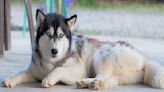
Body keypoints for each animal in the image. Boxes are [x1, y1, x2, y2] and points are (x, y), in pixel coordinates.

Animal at [2, 9, 164, 89]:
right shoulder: (33, 71)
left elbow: (58, 69)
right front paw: (9, 79)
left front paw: (49, 78)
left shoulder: (77, 70)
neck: (50, 61)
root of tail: (144, 57)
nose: (55, 51)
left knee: (103, 76)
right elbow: (21, 73)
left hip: (102, 56)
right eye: (48, 34)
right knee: (111, 81)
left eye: (61, 35)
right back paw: (90, 83)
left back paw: (91, 83)